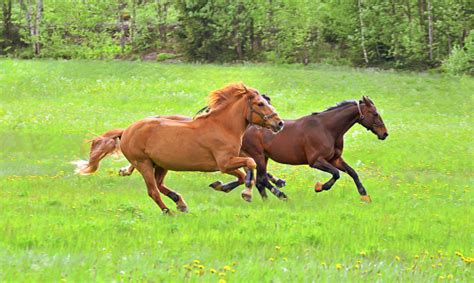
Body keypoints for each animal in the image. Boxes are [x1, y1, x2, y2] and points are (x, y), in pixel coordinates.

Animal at [73, 83, 282, 214]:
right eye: (260, 104)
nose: (279, 124)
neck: (223, 126)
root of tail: (126, 131)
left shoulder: (229, 163)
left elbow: (243, 174)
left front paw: (222, 186)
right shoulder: (224, 163)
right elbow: (251, 164)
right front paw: (247, 193)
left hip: (161, 165)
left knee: (159, 185)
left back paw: (180, 203)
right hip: (143, 164)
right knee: (153, 191)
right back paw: (168, 212)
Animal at [218, 96, 388, 203]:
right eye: (375, 114)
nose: (384, 134)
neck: (328, 129)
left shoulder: (335, 159)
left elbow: (352, 172)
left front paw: (364, 196)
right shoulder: (316, 161)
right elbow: (336, 174)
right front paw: (320, 187)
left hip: (263, 157)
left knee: (260, 180)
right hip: (258, 156)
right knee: (261, 179)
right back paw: (281, 196)